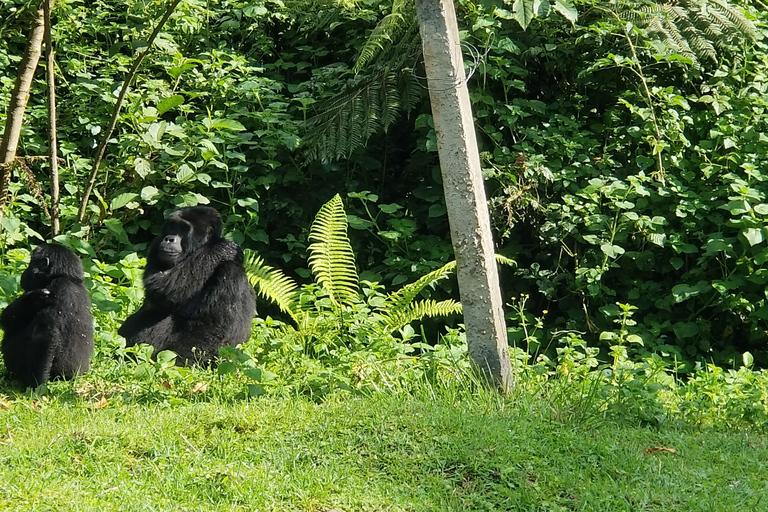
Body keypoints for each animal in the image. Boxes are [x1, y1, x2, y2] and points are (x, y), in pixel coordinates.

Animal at [0, 242, 94, 386]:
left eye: (31, 263)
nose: (24, 273)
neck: (67, 277)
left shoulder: (59, 288)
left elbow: (44, 335)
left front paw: (36, 384)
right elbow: (8, 318)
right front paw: (34, 298)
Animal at [118, 206, 255, 366]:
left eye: (183, 228)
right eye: (172, 226)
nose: (169, 238)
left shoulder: (231, 272)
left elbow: (212, 326)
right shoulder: (156, 245)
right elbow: (160, 284)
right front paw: (221, 248)